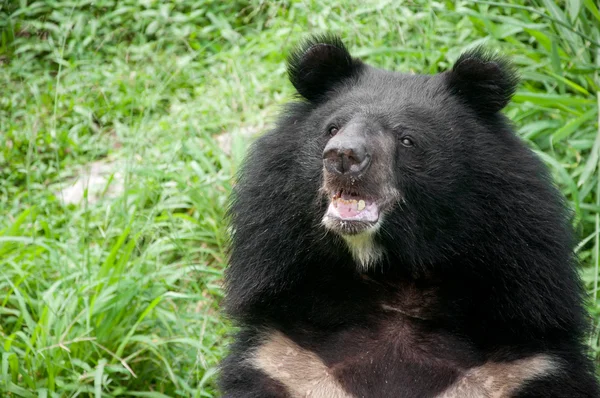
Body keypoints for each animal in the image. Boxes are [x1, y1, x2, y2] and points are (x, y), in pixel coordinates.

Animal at [219, 35, 600, 396]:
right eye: (332, 128)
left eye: (407, 139)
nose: (342, 156)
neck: (393, 275)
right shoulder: (282, 359)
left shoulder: (525, 364)